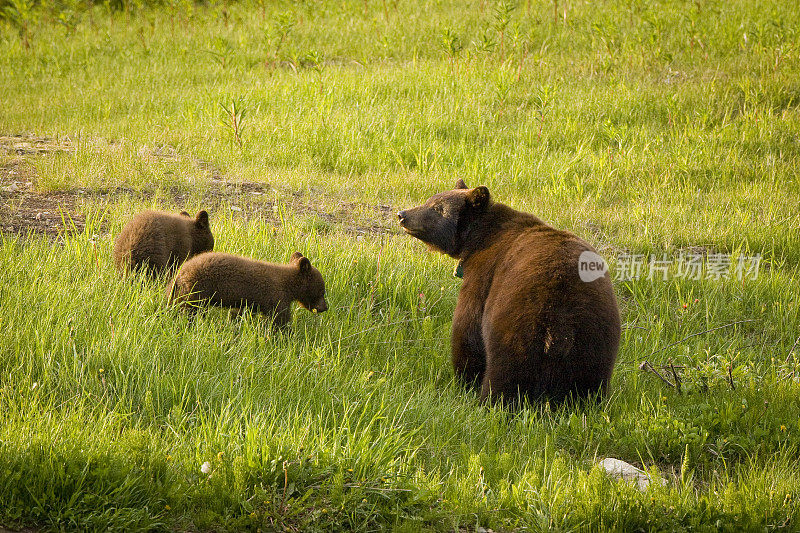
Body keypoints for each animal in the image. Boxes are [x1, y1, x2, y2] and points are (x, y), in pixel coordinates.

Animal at [398, 179, 620, 404]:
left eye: (437, 208)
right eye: (430, 200)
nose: (402, 214)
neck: (481, 235)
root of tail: (561, 326)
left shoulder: (484, 273)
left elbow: (468, 328)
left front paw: (464, 382)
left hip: (515, 325)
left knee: (506, 373)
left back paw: (490, 401)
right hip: (594, 340)